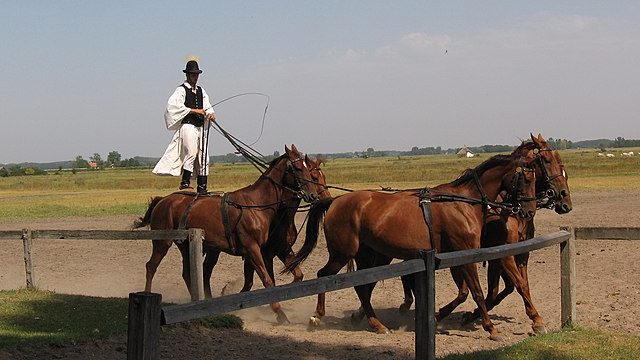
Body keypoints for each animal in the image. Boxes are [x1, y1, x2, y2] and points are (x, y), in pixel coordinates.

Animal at [133, 145, 318, 324]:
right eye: (298, 168)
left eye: (309, 169)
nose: (313, 195)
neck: (256, 205)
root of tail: (163, 200)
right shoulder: (252, 249)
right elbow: (267, 280)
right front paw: (280, 312)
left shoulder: (261, 251)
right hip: (162, 242)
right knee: (151, 266)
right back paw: (147, 294)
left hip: (186, 245)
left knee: (187, 273)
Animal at [284, 149, 540, 338]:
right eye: (527, 178)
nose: (528, 211)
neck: (463, 202)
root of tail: (336, 201)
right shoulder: (466, 252)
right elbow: (476, 291)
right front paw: (491, 328)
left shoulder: (457, 256)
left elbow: (467, 292)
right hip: (343, 252)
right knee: (324, 275)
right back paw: (318, 316)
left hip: (367, 255)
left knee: (361, 287)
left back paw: (376, 323)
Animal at [398, 133, 572, 334]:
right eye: (547, 160)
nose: (565, 202)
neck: (506, 209)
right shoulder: (501, 255)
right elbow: (511, 287)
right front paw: (535, 320)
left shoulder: (521, 254)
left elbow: (516, 287)